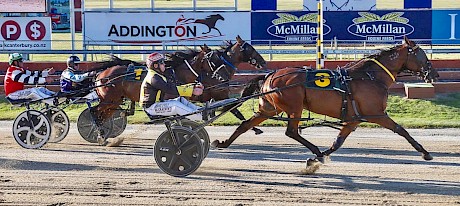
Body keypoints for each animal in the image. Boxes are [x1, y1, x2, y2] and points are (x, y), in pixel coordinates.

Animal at [211, 36, 438, 167]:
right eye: (422, 54)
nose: (433, 73)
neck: (369, 77)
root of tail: (270, 74)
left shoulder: (354, 119)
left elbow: (338, 141)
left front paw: (319, 156)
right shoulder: (377, 114)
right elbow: (401, 130)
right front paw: (425, 152)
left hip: (268, 109)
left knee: (245, 125)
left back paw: (223, 143)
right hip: (295, 106)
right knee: (291, 131)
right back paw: (315, 150)